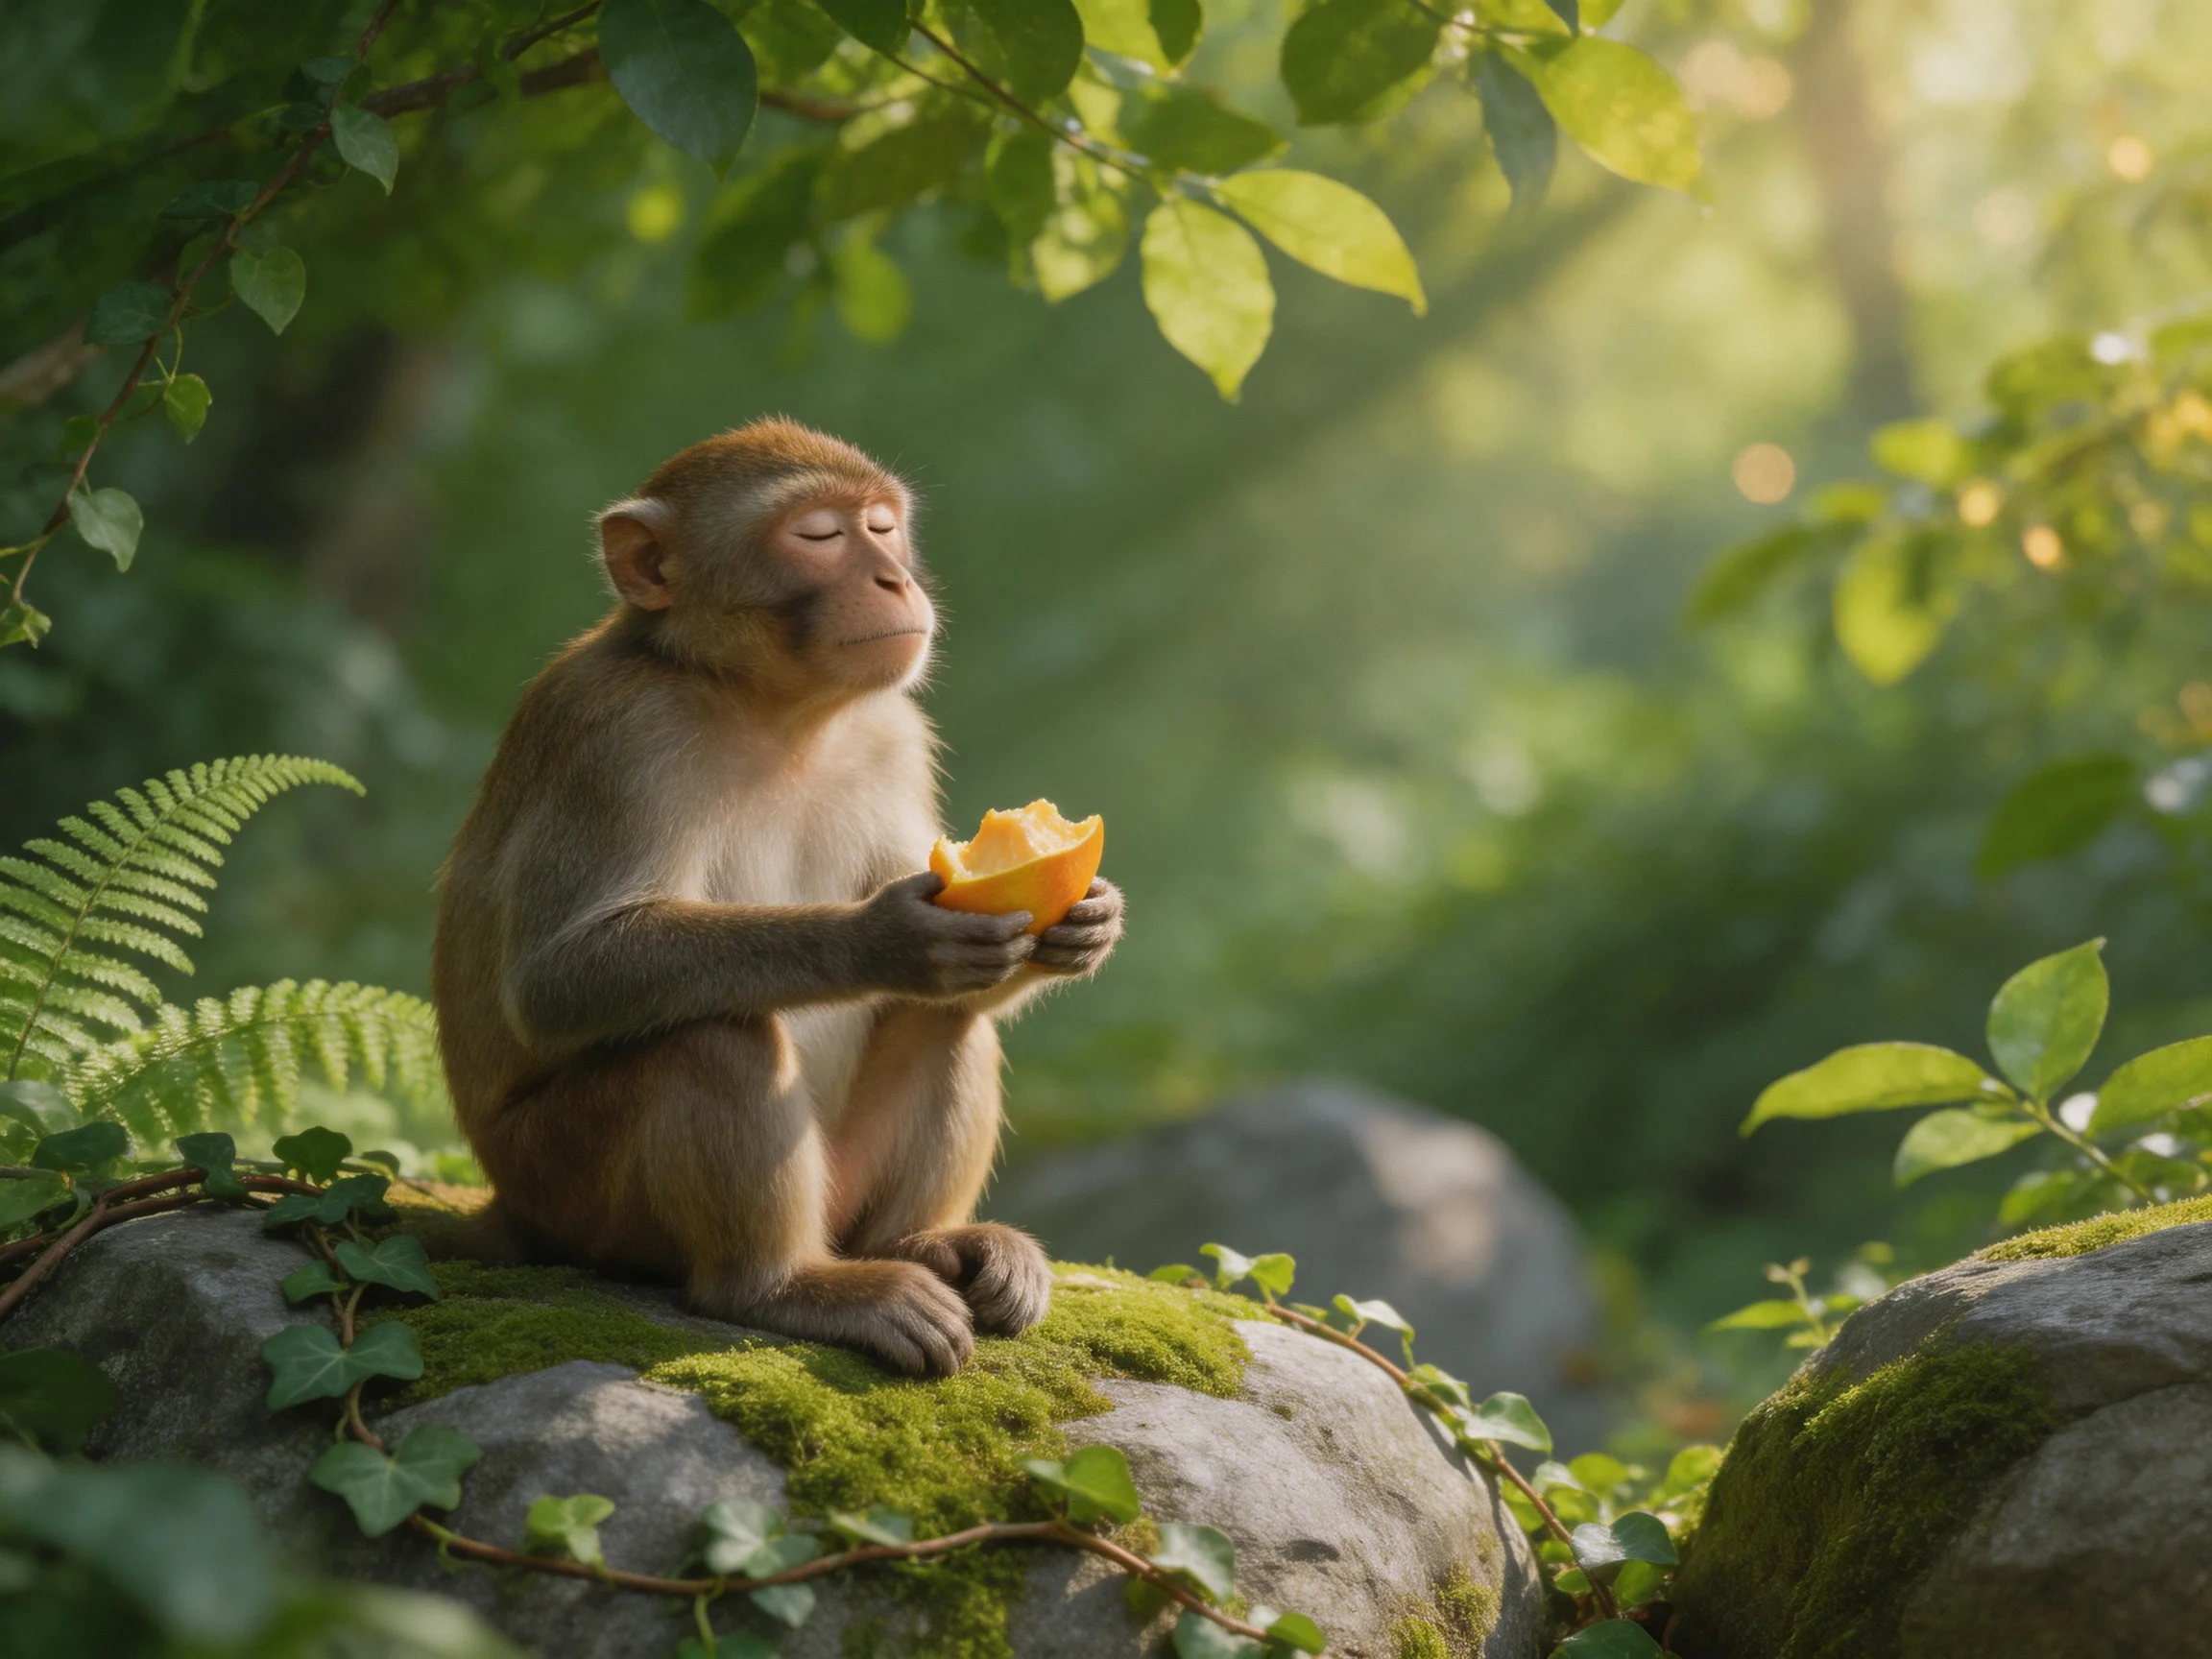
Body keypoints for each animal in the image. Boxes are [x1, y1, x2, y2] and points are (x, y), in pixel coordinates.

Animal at [430, 417, 1124, 1377]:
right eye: (818, 536)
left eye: (882, 527)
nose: (894, 577)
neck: (773, 711)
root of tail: (509, 1209)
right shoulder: (616, 733)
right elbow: (556, 978)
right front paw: (884, 941)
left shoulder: (894, 732)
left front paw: (1088, 924)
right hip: (568, 1191)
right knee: (711, 1038)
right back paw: (781, 1289)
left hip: (838, 1188)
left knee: (947, 1023)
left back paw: (919, 1246)